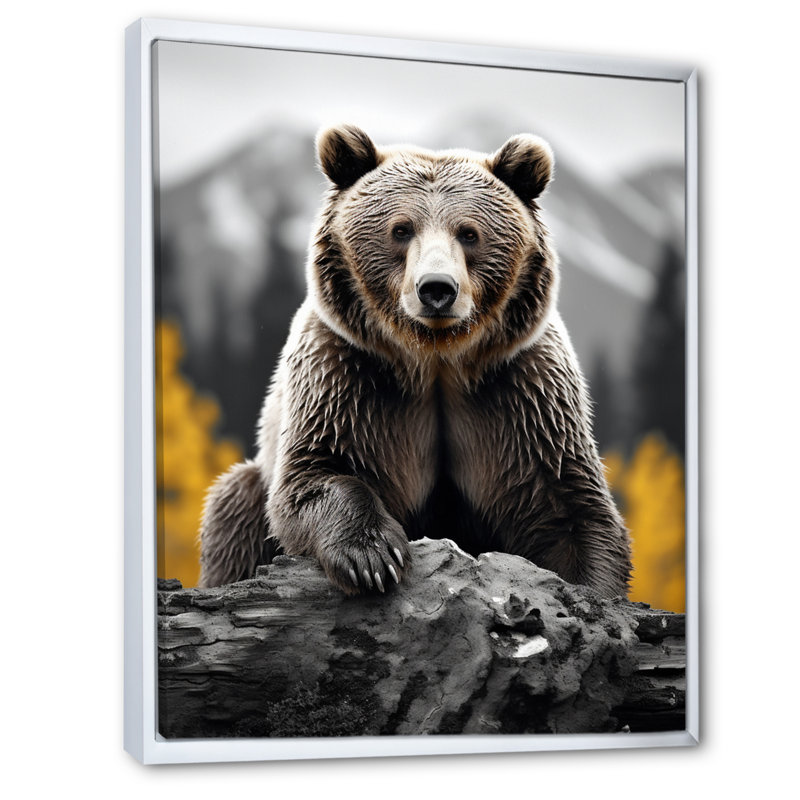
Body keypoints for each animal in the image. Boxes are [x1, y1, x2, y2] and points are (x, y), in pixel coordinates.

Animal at [198, 124, 632, 598]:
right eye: (401, 229)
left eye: (469, 232)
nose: (436, 288)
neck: (436, 360)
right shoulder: (347, 373)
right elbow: (315, 472)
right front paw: (372, 556)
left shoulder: (521, 389)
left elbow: (568, 502)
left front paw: (590, 587)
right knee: (235, 506)